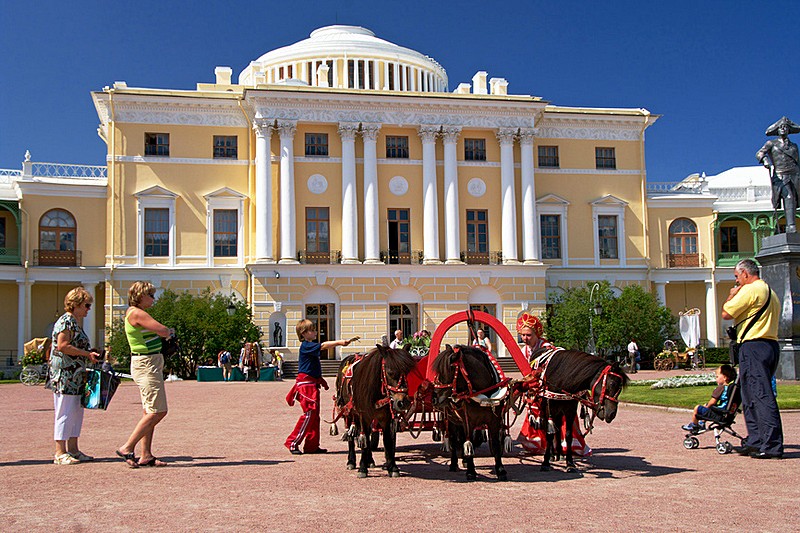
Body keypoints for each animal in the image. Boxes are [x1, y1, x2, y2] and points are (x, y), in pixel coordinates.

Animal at [332, 344, 416, 478]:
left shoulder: (386, 417)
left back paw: (369, 460)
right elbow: (365, 439)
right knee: (351, 435)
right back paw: (351, 461)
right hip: (348, 413)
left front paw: (392, 467)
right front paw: (362, 468)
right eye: (390, 372)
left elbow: (387, 440)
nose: (403, 402)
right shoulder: (364, 416)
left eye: (407, 372)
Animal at [432, 342, 512, 480]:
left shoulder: (495, 421)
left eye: (449, 369)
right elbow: (467, 442)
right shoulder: (468, 421)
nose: (434, 398)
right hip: (451, 421)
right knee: (453, 440)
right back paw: (454, 464)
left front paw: (501, 470)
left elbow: (496, 445)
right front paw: (471, 471)